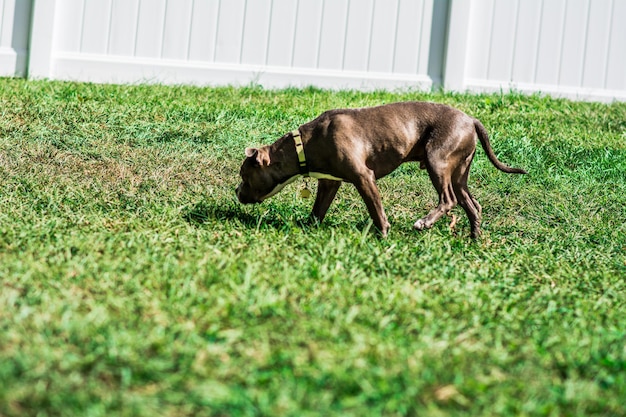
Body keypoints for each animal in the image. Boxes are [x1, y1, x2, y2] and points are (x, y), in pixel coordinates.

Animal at [236, 101, 524, 237]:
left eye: (244, 176)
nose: (236, 192)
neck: (303, 145)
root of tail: (471, 119)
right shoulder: (329, 182)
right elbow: (318, 209)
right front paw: (309, 227)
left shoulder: (364, 177)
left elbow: (375, 209)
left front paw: (383, 234)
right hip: (458, 173)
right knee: (473, 205)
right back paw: (474, 238)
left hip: (437, 161)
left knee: (448, 200)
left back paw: (424, 223)